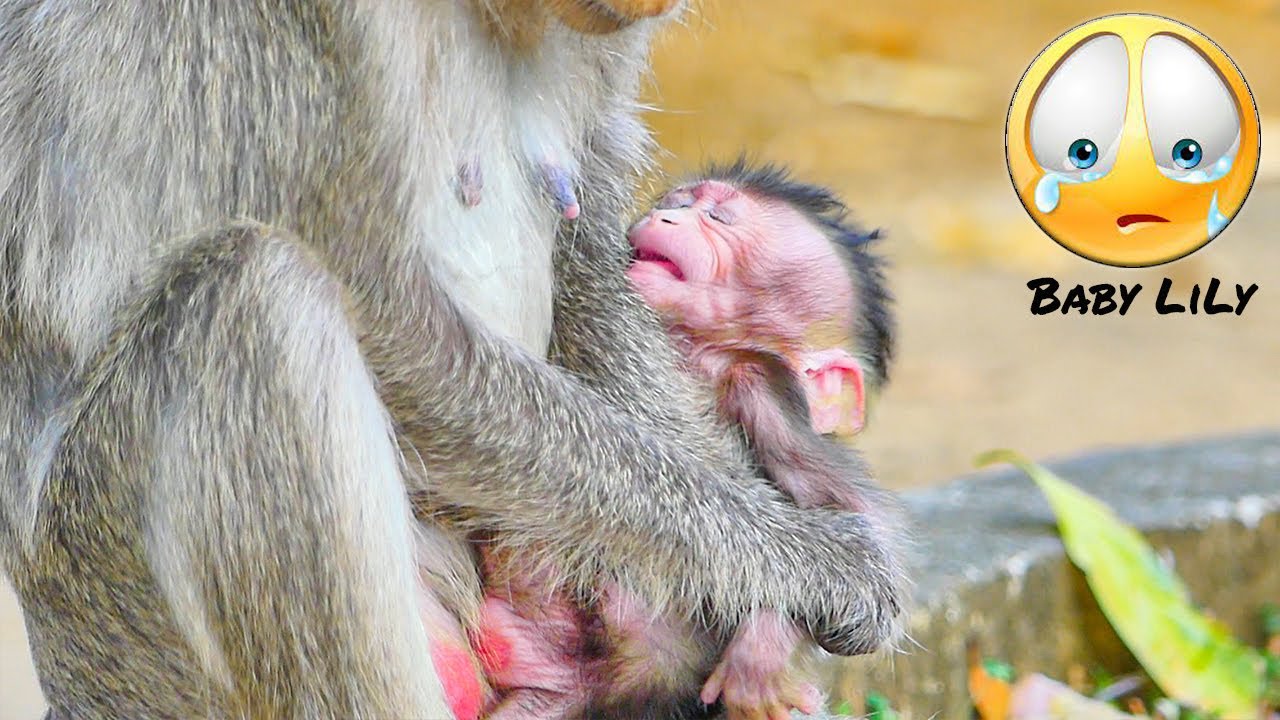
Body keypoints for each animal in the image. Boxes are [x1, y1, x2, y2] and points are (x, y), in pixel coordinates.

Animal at [470, 160, 903, 720]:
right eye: (678, 201)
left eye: (718, 217)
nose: (665, 215)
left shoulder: (760, 384)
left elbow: (857, 521)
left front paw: (762, 649)